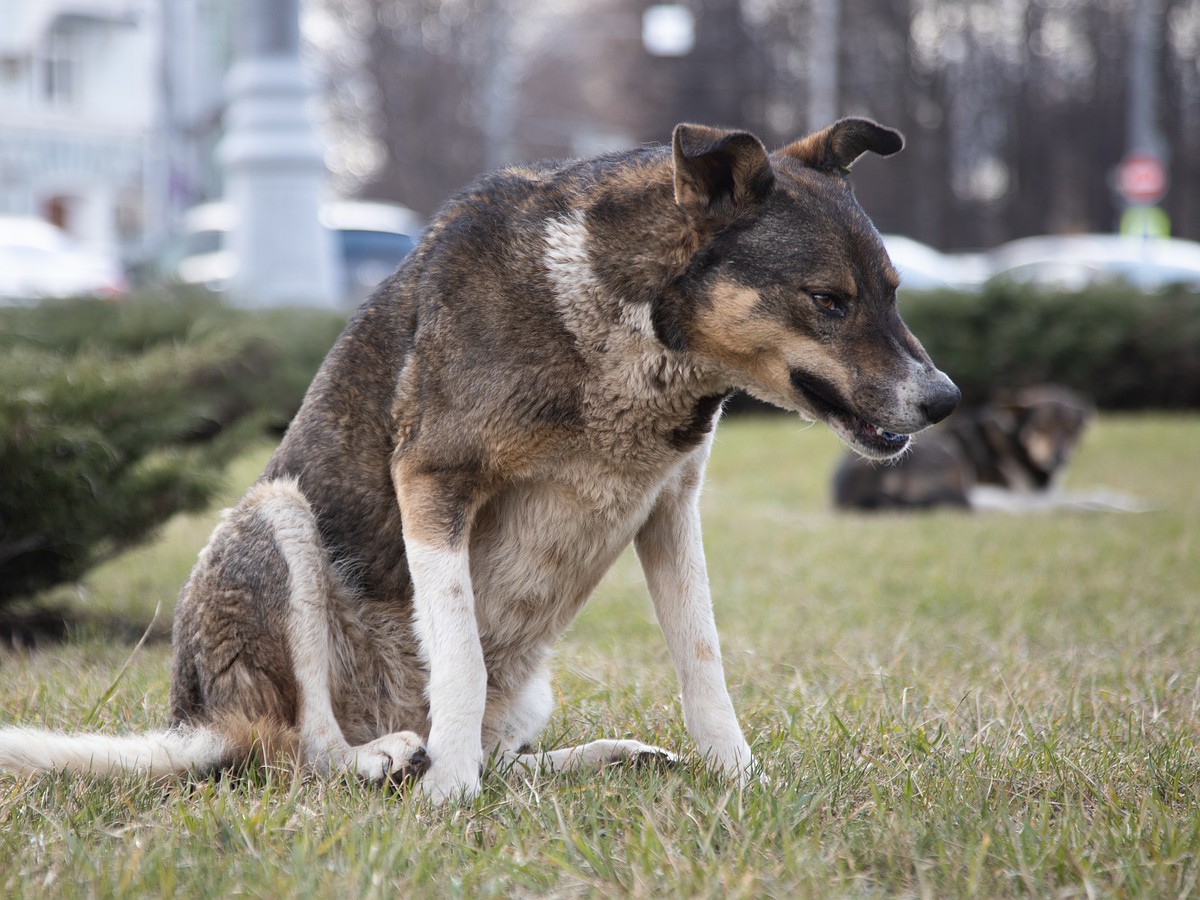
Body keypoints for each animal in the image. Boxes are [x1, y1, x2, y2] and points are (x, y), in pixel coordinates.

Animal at [0, 118, 955, 801]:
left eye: (894, 293)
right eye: (828, 301)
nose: (944, 399)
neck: (622, 325)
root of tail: (199, 722)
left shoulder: (669, 510)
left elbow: (703, 660)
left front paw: (740, 777)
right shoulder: (434, 481)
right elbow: (456, 652)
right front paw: (449, 791)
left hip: (528, 688)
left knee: (504, 759)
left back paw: (600, 757)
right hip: (276, 523)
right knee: (301, 751)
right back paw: (390, 760)